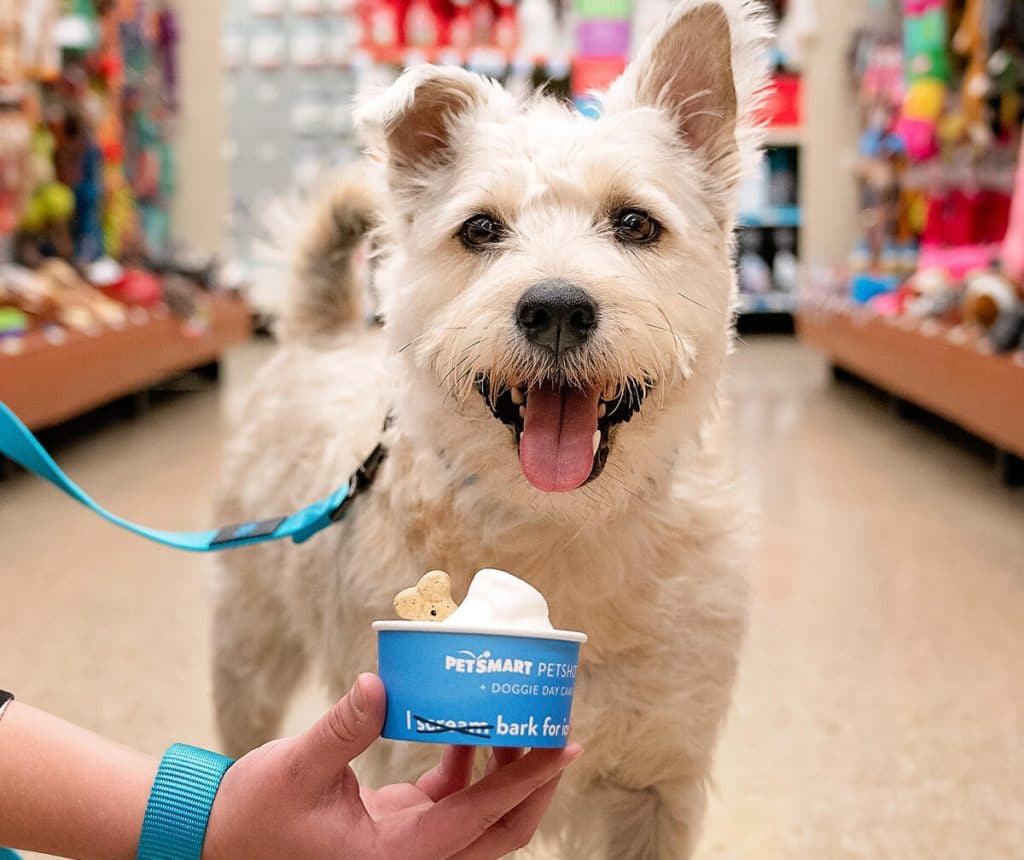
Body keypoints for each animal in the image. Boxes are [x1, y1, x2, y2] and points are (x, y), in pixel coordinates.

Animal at [209, 3, 770, 855]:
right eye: (480, 230)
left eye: (635, 223)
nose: (557, 308)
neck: (563, 527)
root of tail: (324, 333)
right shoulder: (410, 767)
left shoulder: (658, 790)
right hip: (248, 651)